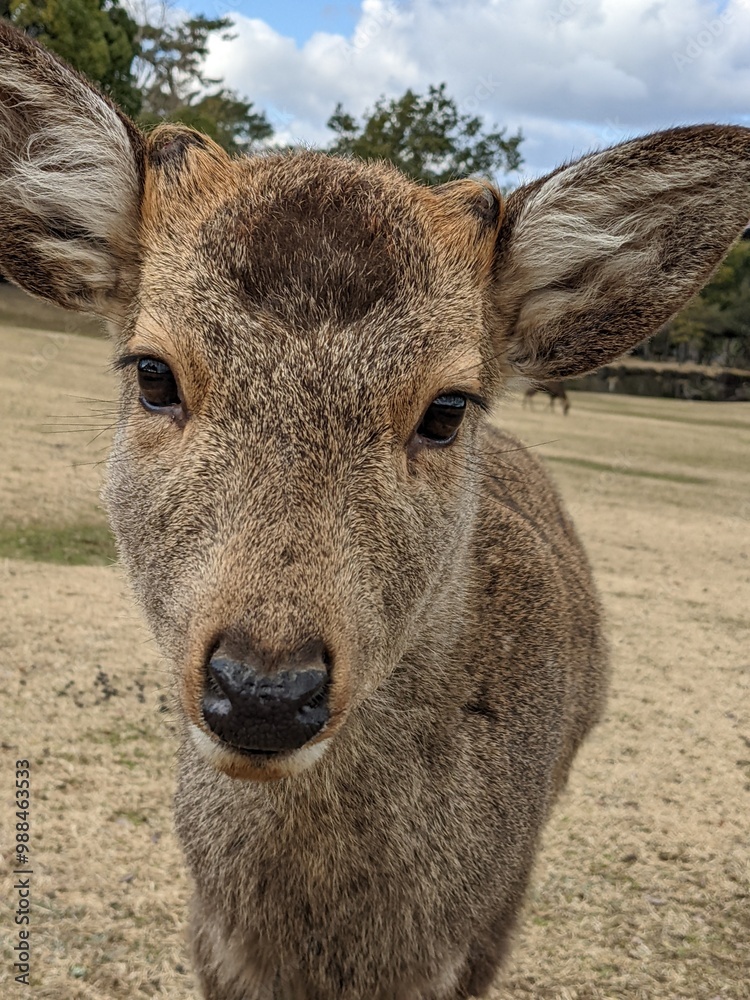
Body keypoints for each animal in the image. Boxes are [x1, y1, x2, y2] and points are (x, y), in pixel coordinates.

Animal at [1, 23, 748, 1000]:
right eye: (154, 373)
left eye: (447, 408)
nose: (264, 694)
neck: (339, 944)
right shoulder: (211, 939)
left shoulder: (483, 931)